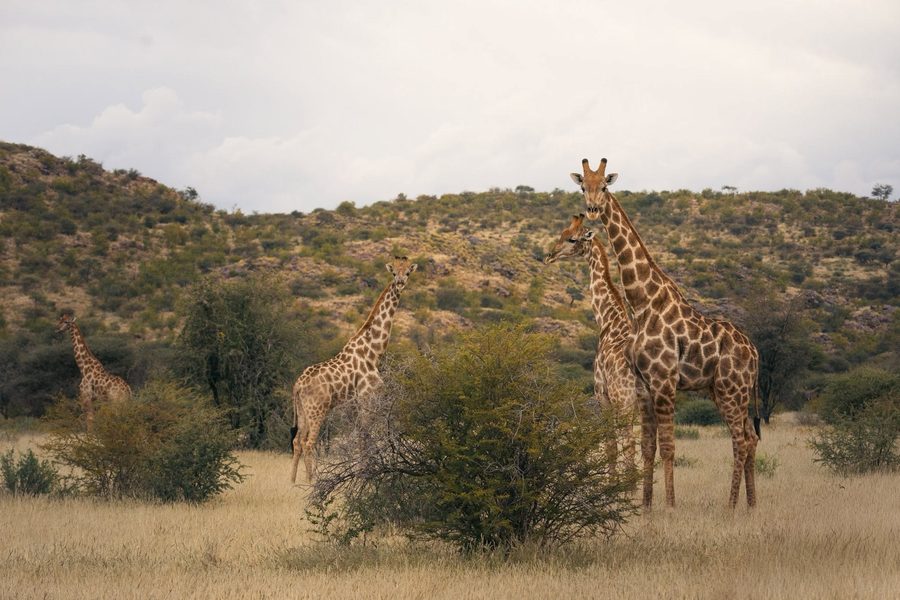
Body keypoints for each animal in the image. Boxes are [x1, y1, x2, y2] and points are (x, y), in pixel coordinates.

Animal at [290, 256, 418, 483]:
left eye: (408, 273)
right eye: (394, 273)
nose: (400, 283)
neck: (373, 352)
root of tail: (298, 385)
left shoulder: (357, 404)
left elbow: (361, 439)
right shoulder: (368, 398)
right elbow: (366, 439)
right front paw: (366, 477)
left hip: (303, 410)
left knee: (297, 441)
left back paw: (293, 481)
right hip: (317, 409)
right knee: (308, 443)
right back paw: (312, 482)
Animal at [544, 214, 645, 480]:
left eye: (572, 238)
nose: (549, 256)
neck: (608, 320)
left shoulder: (602, 394)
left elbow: (610, 448)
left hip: (624, 402)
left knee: (630, 453)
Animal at [571, 158, 760, 508]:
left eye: (604, 185)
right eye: (582, 187)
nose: (592, 209)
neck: (644, 303)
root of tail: (755, 352)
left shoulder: (664, 382)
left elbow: (669, 448)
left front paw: (670, 506)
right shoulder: (646, 387)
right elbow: (649, 448)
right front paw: (645, 506)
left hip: (733, 390)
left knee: (740, 441)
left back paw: (730, 507)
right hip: (722, 391)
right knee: (750, 437)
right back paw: (751, 505)